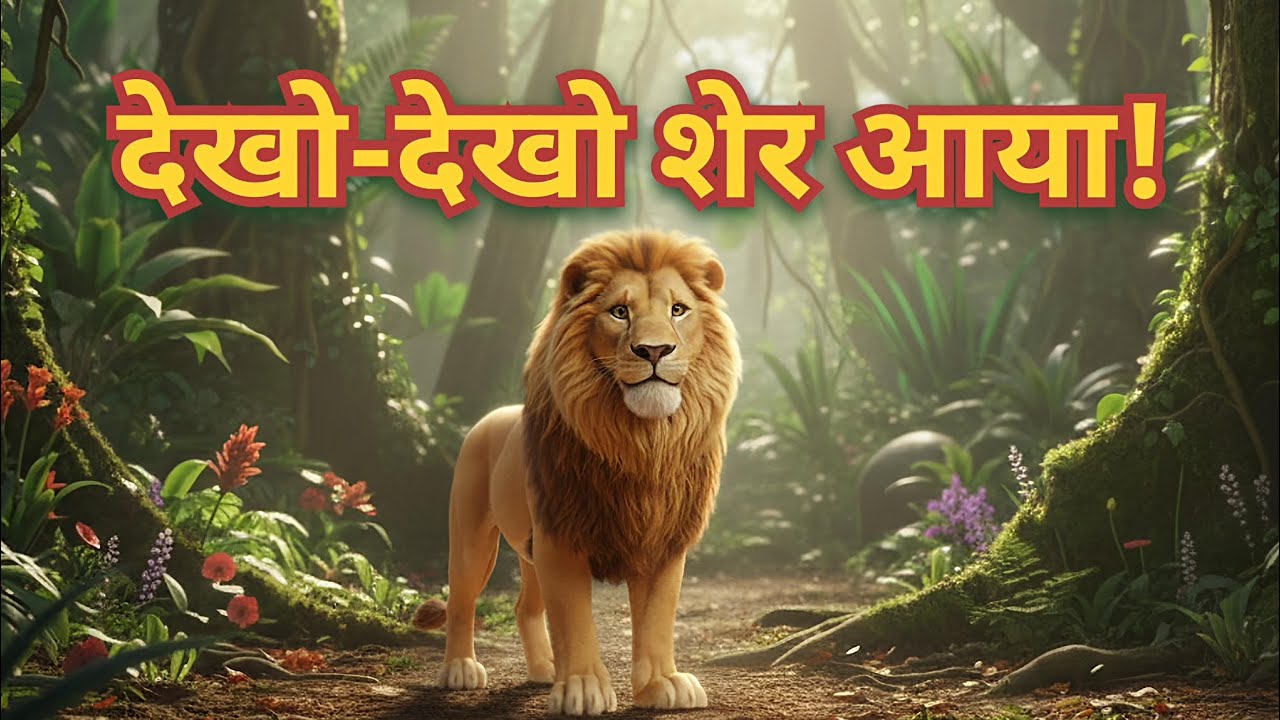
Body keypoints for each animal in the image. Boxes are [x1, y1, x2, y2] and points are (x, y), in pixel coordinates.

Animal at [416, 229, 740, 715]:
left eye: (678, 310)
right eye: (620, 312)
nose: (655, 350)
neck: (642, 442)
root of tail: (490, 417)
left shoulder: (663, 540)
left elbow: (657, 617)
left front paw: (661, 685)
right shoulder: (562, 534)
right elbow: (574, 617)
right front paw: (584, 688)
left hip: (529, 549)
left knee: (525, 607)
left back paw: (544, 670)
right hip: (473, 536)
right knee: (461, 600)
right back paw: (460, 670)